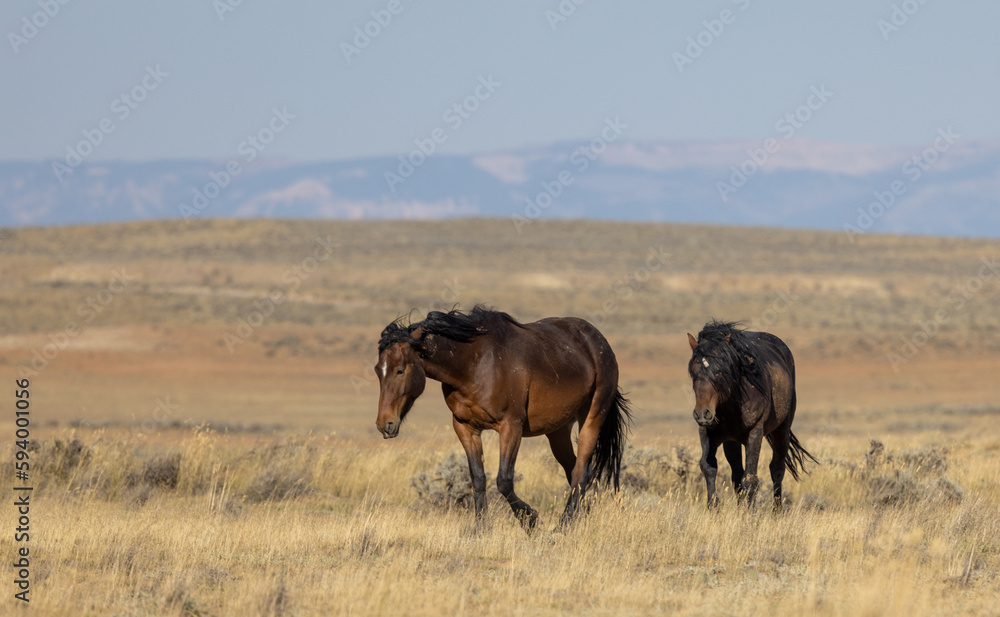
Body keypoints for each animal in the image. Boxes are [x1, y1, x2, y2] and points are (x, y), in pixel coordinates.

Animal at [375, 305, 632, 529]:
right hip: (557, 431)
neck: (474, 364)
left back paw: (563, 526)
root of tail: (598, 340)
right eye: (378, 370)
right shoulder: (465, 427)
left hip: (592, 418)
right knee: (575, 470)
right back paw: (580, 517)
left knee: (580, 472)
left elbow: (504, 481)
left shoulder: (511, 427)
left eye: (400, 369)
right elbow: (478, 478)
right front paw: (480, 528)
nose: (384, 424)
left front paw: (531, 521)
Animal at [686, 320, 817, 509]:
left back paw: (777, 511)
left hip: (781, 431)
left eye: (719, 371)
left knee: (777, 469)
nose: (703, 414)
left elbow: (750, 478)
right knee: (736, 474)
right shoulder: (707, 432)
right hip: (731, 442)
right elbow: (709, 468)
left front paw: (750, 513)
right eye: (693, 371)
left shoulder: (755, 433)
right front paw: (713, 508)